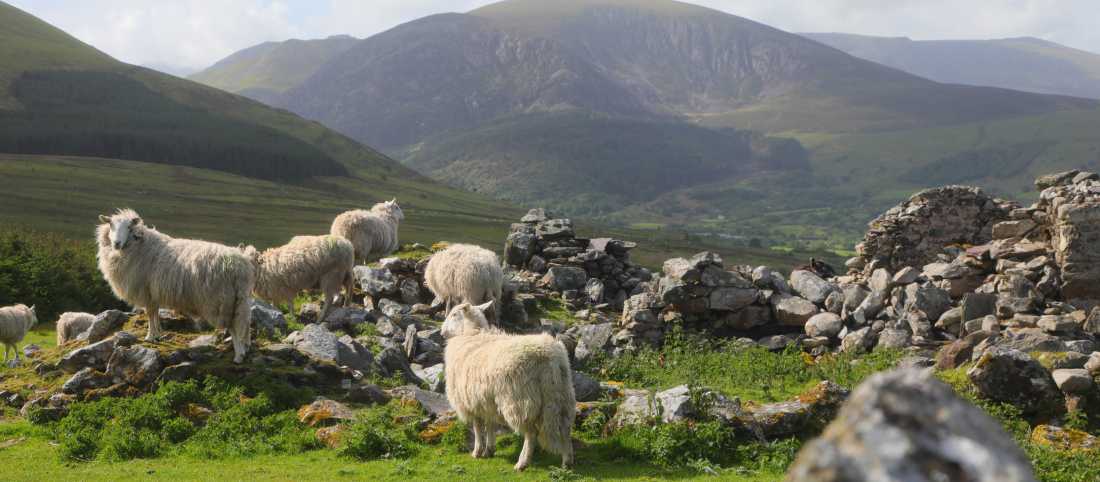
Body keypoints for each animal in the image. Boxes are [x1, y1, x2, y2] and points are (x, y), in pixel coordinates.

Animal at [96, 209, 254, 363]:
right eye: (111, 225)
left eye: (129, 227)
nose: (116, 243)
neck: (139, 246)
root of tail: (241, 266)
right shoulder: (154, 292)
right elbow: (155, 313)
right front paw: (158, 333)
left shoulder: (146, 291)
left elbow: (150, 314)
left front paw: (150, 336)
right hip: (239, 300)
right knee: (244, 324)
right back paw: (244, 350)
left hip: (224, 301)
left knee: (234, 327)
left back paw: (238, 356)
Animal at [443, 301, 575, 471]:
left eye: (454, 314)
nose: (442, 332)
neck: (471, 334)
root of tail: (550, 358)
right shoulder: (485, 401)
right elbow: (490, 425)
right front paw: (489, 450)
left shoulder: (470, 401)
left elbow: (478, 428)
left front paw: (477, 451)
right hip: (562, 395)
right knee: (565, 427)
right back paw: (567, 461)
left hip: (520, 400)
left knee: (531, 433)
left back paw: (522, 463)